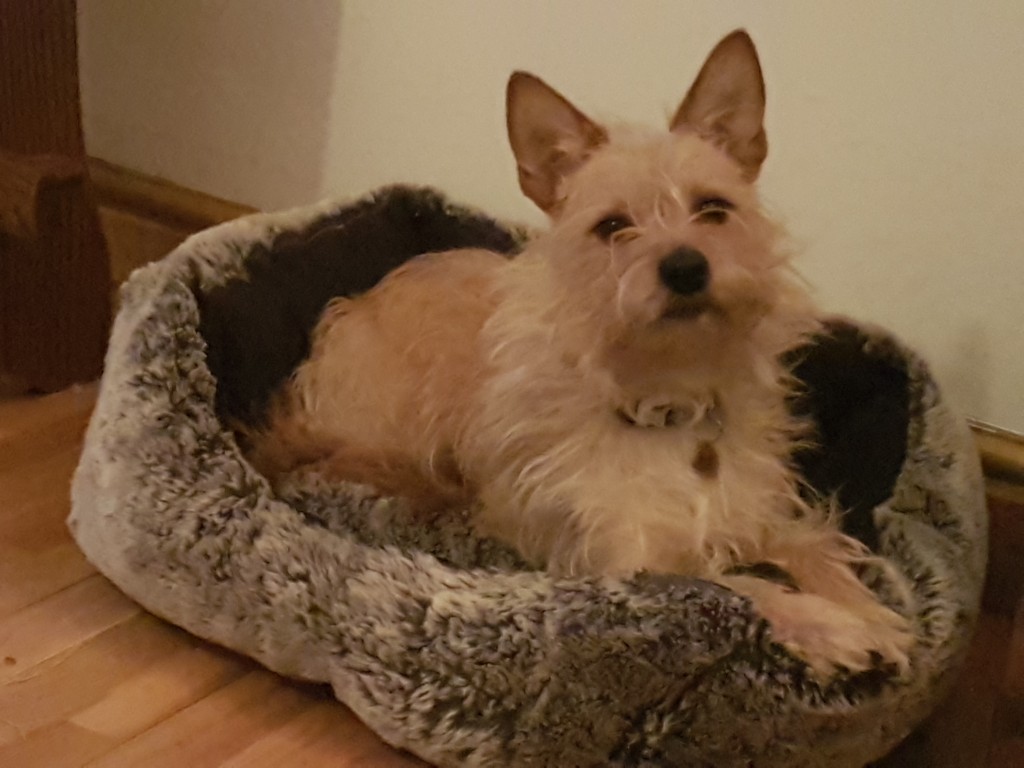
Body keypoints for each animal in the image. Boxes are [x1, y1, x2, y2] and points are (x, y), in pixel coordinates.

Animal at [249, 30, 913, 675]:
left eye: (713, 209)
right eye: (613, 226)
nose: (685, 267)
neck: (670, 393)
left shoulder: (758, 512)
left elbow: (813, 547)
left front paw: (865, 612)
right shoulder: (637, 564)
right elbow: (739, 587)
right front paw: (829, 627)